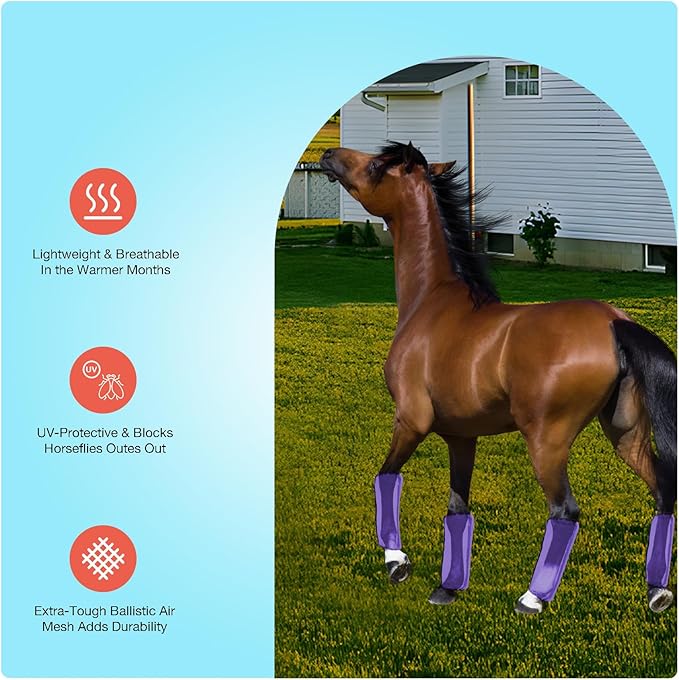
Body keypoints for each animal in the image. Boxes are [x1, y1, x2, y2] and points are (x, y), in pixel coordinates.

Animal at [320, 141, 676, 614]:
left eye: (378, 165)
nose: (328, 155)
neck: (430, 303)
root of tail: (614, 322)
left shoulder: (412, 421)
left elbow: (386, 476)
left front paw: (397, 563)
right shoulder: (460, 437)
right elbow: (457, 507)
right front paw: (447, 588)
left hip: (547, 441)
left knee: (565, 511)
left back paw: (532, 598)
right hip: (625, 432)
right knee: (662, 489)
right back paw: (657, 591)